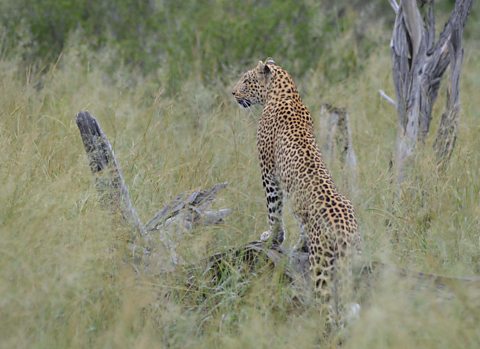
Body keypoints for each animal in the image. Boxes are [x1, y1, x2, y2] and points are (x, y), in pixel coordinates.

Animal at [232, 57, 360, 328]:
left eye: (246, 80)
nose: (233, 93)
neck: (284, 92)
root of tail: (345, 228)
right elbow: (300, 223)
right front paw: (298, 244)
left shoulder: (269, 172)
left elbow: (273, 210)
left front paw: (272, 237)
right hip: (353, 264)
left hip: (322, 266)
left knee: (328, 308)